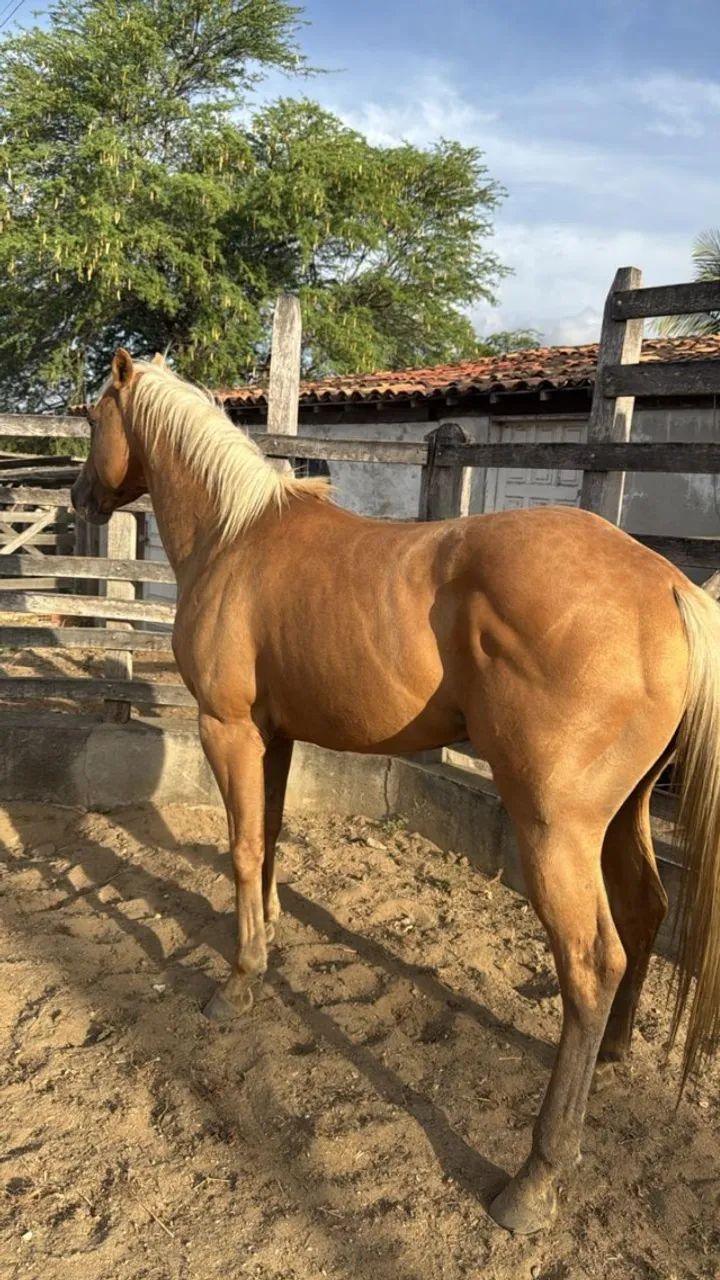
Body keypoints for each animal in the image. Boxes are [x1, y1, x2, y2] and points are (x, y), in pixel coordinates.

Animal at [71, 348, 720, 1235]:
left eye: (93, 418)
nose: (80, 498)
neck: (235, 538)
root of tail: (665, 586)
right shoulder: (275, 736)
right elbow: (270, 838)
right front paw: (271, 935)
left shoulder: (227, 730)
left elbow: (240, 847)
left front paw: (238, 982)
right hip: (624, 815)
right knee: (647, 912)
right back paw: (615, 1056)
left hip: (556, 829)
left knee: (592, 964)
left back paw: (535, 1177)